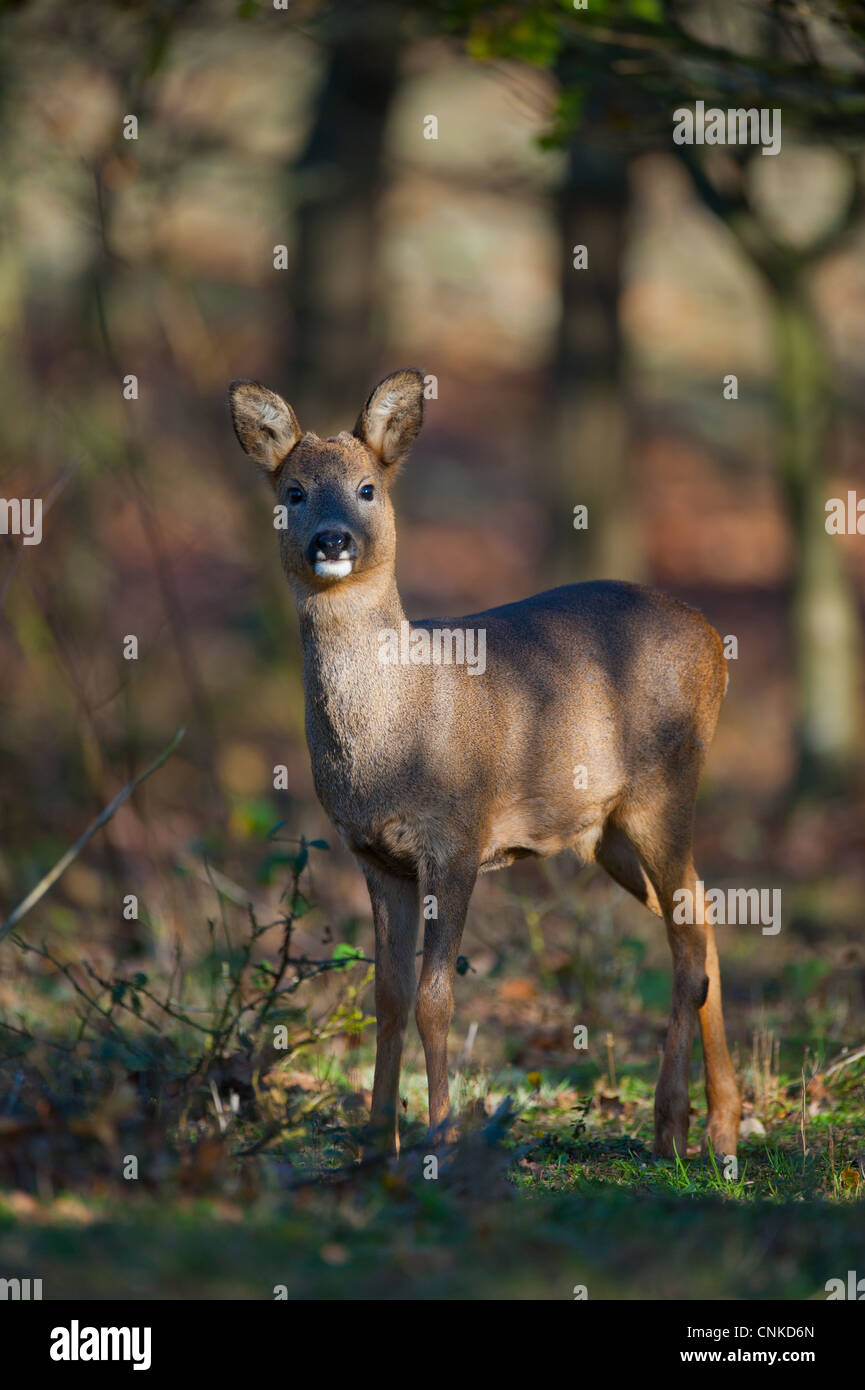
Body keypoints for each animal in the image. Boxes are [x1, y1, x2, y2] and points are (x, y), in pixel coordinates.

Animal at [232, 369, 745, 1162]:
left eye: (367, 487)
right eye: (293, 489)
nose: (331, 539)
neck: (396, 736)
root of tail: (714, 639)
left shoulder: (457, 837)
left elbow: (435, 998)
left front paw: (439, 1138)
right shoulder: (375, 856)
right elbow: (386, 996)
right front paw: (375, 1140)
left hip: (666, 784)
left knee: (689, 943)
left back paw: (691, 1133)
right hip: (607, 830)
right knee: (702, 919)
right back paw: (710, 1122)